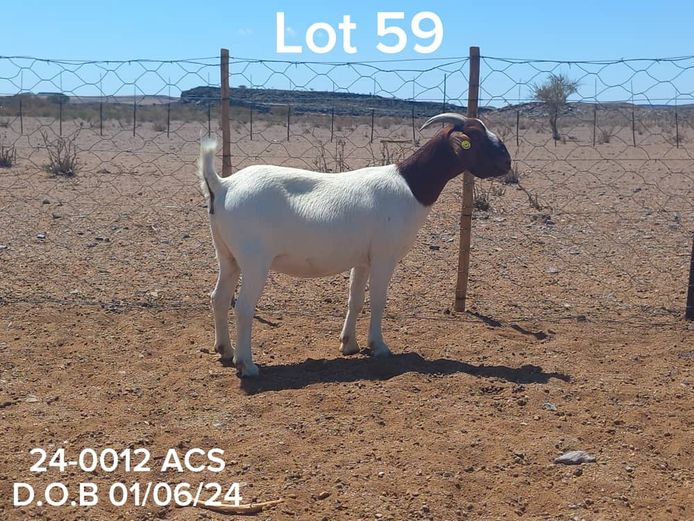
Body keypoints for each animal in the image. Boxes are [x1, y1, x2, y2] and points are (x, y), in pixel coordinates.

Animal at [198, 113, 511, 377]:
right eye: (475, 136)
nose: (507, 162)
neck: (410, 185)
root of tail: (223, 185)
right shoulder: (385, 256)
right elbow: (378, 300)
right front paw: (379, 346)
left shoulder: (362, 260)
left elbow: (356, 299)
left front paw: (349, 344)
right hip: (255, 260)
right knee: (243, 307)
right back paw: (247, 364)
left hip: (227, 256)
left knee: (218, 298)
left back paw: (224, 351)